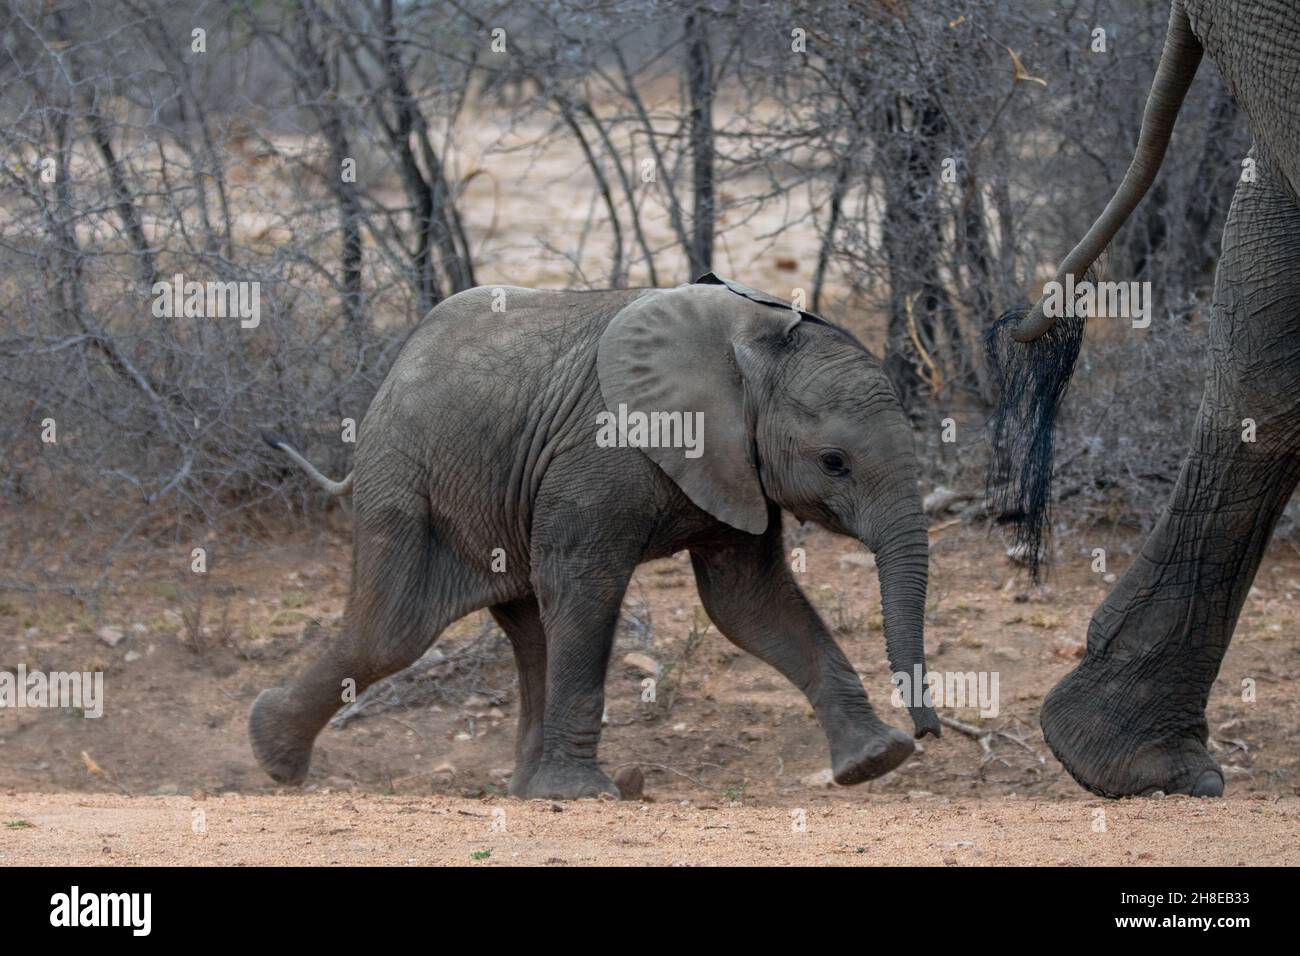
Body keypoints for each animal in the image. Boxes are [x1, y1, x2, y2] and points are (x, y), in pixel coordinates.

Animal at [253, 274, 941, 801]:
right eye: (834, 462)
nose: (929, 732)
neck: (750, 340)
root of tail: (391, 374)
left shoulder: (736, 469)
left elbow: (750, 603)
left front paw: (875, 761)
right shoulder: (601, 452)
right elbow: (588, 585)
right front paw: (581, 796)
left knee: (527, 631)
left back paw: (521, 791)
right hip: (401, 479)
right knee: (391, 633)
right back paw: (271, 756)